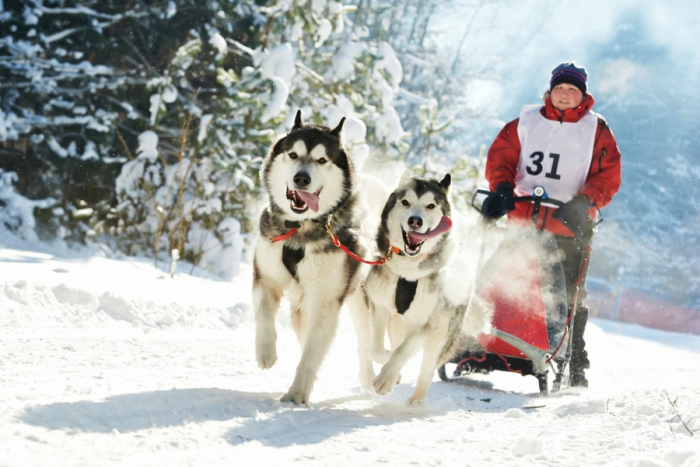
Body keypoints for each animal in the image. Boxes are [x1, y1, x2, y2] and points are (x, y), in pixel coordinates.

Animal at [250, 110, 372, 406]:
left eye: (321, 160)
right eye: (293, 154)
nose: (302, 179)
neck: (300, 229)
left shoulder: (326, 299)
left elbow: (311, 355)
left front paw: (296, 394)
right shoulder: (265, 275)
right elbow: (263, 314)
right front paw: (266, 352)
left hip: (357, 299)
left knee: (365, 343)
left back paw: (370, 378)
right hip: (301, 307)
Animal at [366, 171, 492, 406]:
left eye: (431, 206)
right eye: (405, 202)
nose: (415, 220)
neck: (408, 272)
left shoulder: (426, 323)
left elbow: (403, 351)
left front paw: (386, 379)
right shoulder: (380, 308)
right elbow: (378, 350)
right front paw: (392, 373)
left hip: (441, 335)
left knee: (427, 369)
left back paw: (416, 400)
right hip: (398, 323)